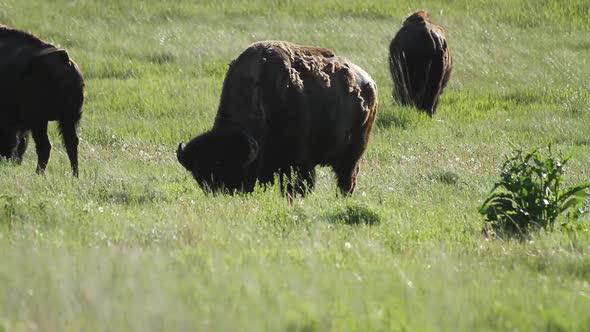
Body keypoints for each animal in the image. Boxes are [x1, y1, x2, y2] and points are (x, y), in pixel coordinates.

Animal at [0, 24, 85, 176]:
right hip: (68, 119)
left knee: (44, 146)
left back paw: (38, 174)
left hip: (39, 121)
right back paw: (75, 176)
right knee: (71, 143)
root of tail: (64, 58)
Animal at [177, 41, 380, 197]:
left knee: (347, 177)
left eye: (231, 169)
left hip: (353, 153)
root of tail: (369, 82)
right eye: (200, 178)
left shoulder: (298, 162)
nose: (220, 194)